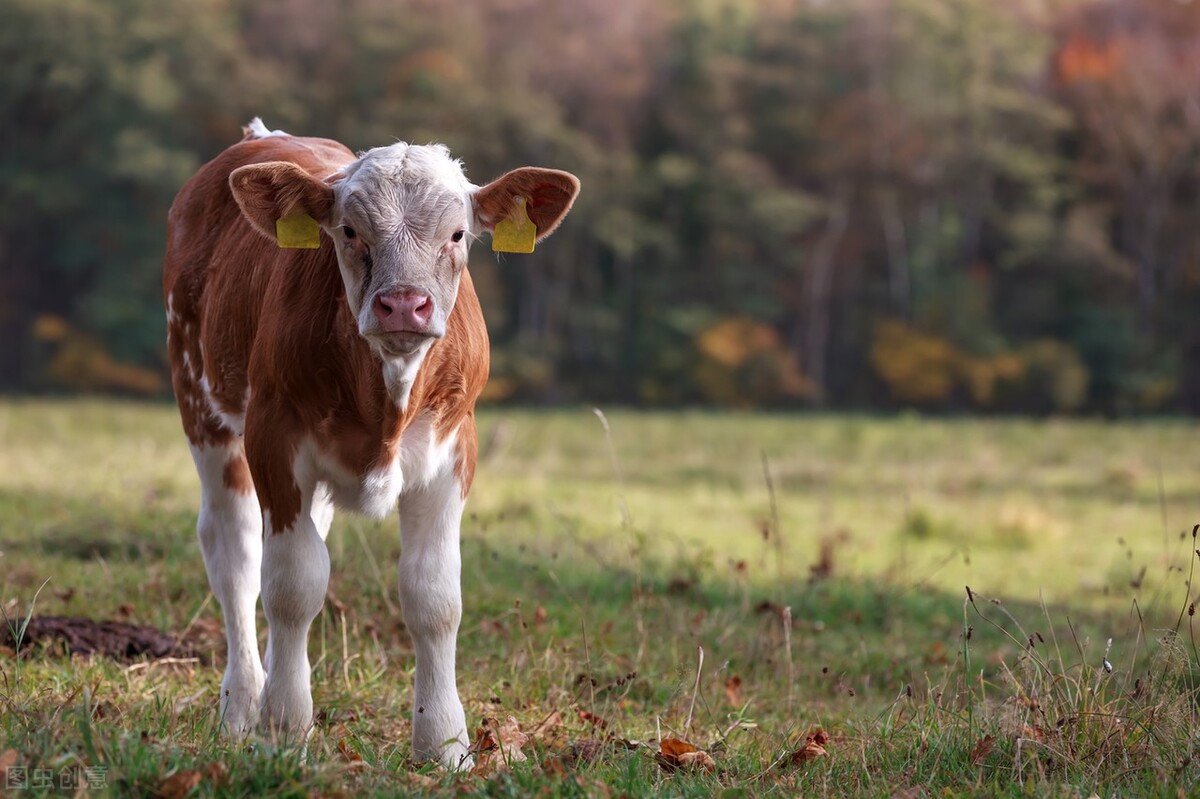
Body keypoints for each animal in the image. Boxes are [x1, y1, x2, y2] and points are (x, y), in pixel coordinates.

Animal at [165, 118, 580, 767]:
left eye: (458, 233)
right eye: (350, 230)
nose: (403, 304)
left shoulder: (455, 448)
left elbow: (434, 596)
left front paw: (443, 743)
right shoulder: (274, 437)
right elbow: (292, 585)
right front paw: (284, 727)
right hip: (200, 400)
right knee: (235, 553)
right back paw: (242, 705)